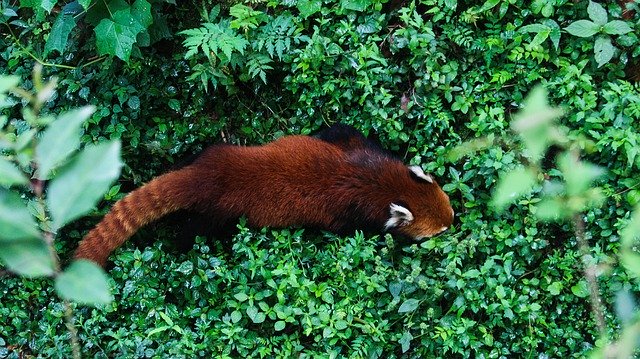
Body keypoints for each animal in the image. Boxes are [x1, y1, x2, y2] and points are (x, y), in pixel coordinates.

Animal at [76, 125, 456, 266]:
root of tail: (208, 177)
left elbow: (335, 130)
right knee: (197, 230)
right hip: (221, 213)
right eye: (436, 232)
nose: (455, 221)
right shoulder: (351, 211)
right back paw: (179, 245)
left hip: (217, 153)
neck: (383, 183)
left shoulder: (357, 150)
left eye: (449, 206)